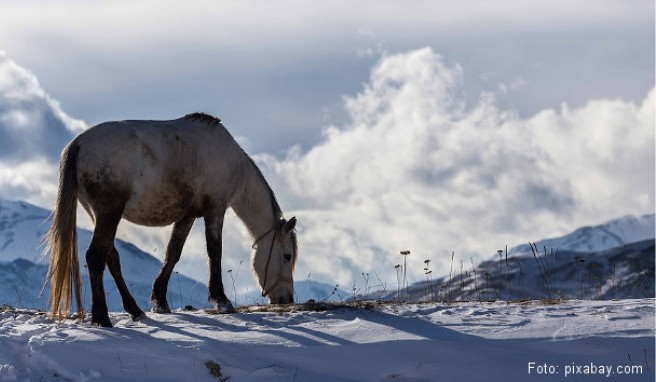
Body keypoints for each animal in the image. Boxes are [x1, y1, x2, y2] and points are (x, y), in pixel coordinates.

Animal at [46, 112, 300, 326]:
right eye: (287, 256)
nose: (286, 298)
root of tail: (78, 144)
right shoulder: (215, 209)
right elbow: (214, 252)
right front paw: (222, 300)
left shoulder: (188, 216)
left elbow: (173, 253)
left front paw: (160, 300)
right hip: (109, 213)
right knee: (96, 257)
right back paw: (102, 318)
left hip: (98, 214)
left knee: (111, 258)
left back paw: (134, 310)